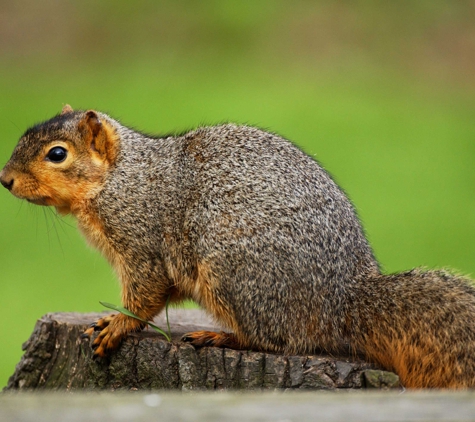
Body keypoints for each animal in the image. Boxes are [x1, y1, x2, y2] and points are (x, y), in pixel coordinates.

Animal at [0, 104, 475, 388]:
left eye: (57, 154)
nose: (5, 179)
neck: (118, 178)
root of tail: (340, 301)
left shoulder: (142, 240)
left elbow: (146, 294)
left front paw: (117, 324)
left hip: (233, 273)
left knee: (278, 339)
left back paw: (219, 335)